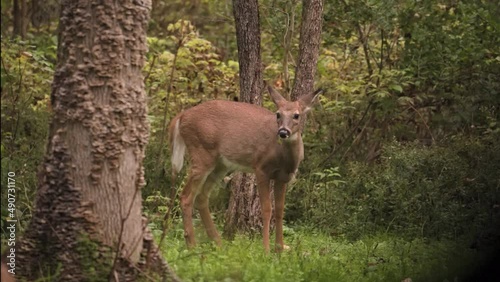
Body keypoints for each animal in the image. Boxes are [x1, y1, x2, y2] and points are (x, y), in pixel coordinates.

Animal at [170, 83, 322, 251]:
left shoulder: (283, 177)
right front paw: (266, 249)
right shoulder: (261, 168)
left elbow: (280, 210)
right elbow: (266, 209)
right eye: (278, 114)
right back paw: (192, 245)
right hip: (201, 153)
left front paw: (280, 248)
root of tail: (182, 116)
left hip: (220, 164)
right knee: (186, 196)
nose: (283, 132)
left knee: (201, 197)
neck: (284, 158)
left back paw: (218, 243)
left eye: (296, 115)